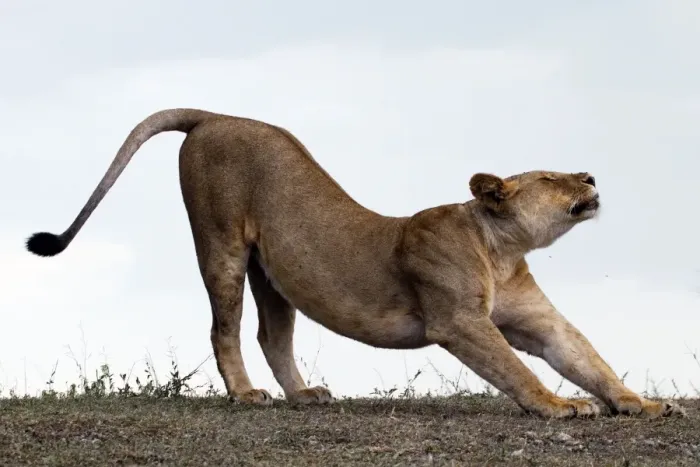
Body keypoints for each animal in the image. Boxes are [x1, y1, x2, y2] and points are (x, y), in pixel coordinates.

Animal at [26, 108, 685, 419]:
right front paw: (557, 405)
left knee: (271, 334)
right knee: (223, 329)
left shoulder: (538, 321)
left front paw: (643, 403)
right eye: (549, 177)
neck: (502, 251)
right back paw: (247, 395)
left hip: (274, 271)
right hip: (222, 245)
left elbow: (587, 359)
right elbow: (516, 370)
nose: (591, 176)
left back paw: (302, 395)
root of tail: (213, 115)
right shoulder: (457, 321)